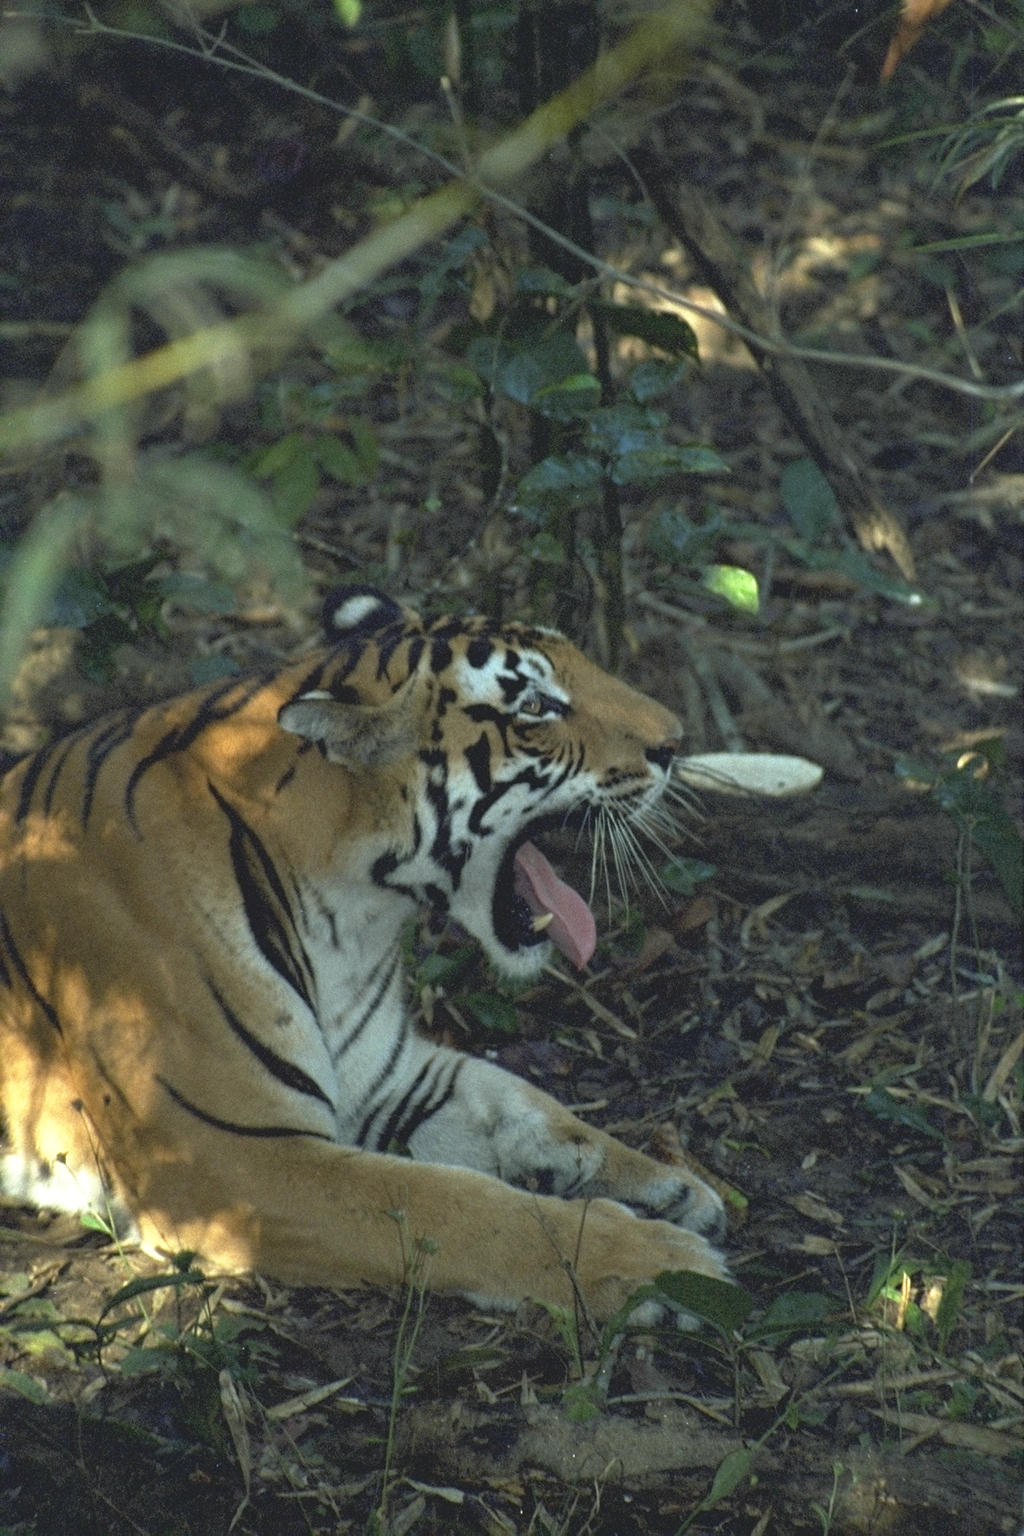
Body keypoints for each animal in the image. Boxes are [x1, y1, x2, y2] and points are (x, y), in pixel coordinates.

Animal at [0, 586, 727, 1320]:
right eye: (535, 707)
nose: (676, 741)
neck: (352, 921)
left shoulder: (389, 1077)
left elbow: (530, 1105)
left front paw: (671, 1185)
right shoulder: (230, 1157)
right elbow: (460, 1206)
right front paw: (660, 1263)